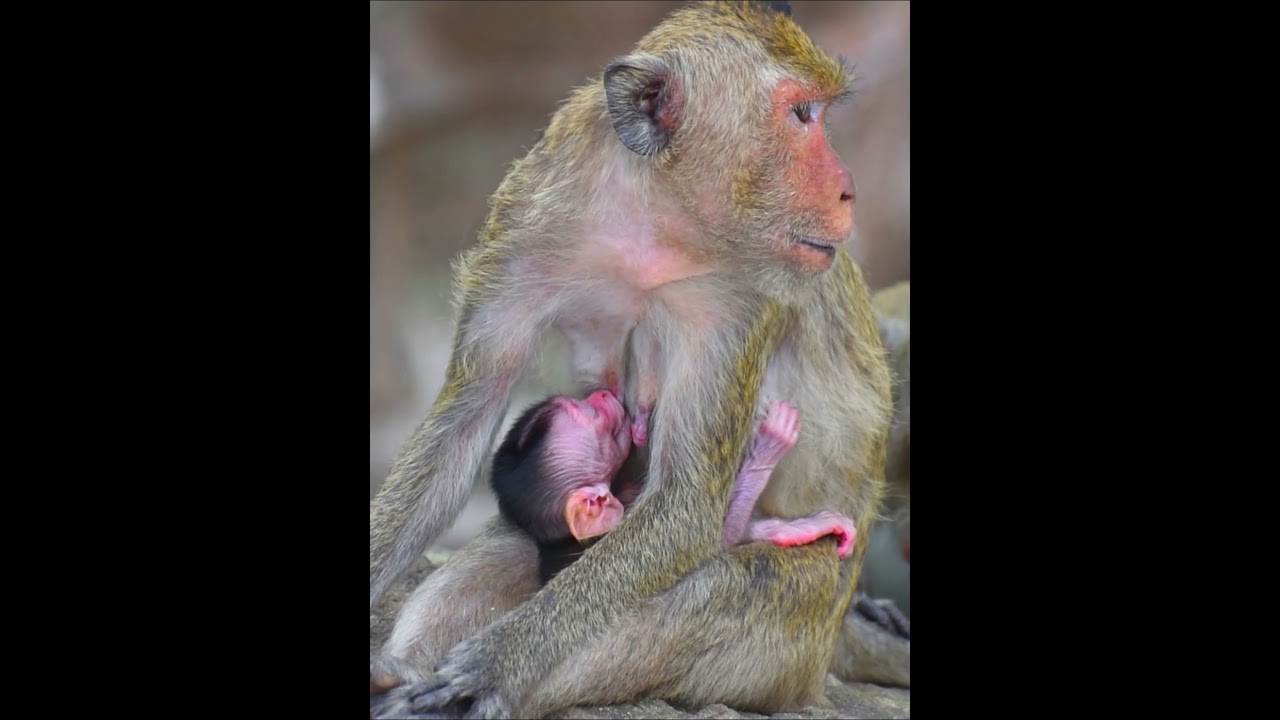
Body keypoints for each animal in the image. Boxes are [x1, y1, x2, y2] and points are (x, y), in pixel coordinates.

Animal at [368, 2, 907, 716]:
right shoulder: (528, 220)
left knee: (714, 596)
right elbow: (468, 418)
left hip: (794, 635)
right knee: (510, 545)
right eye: (800, 114)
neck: (657, 222)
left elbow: (686, 500)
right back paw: (398, 670)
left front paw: (498, 662)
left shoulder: (741, 300)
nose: (849, 190)